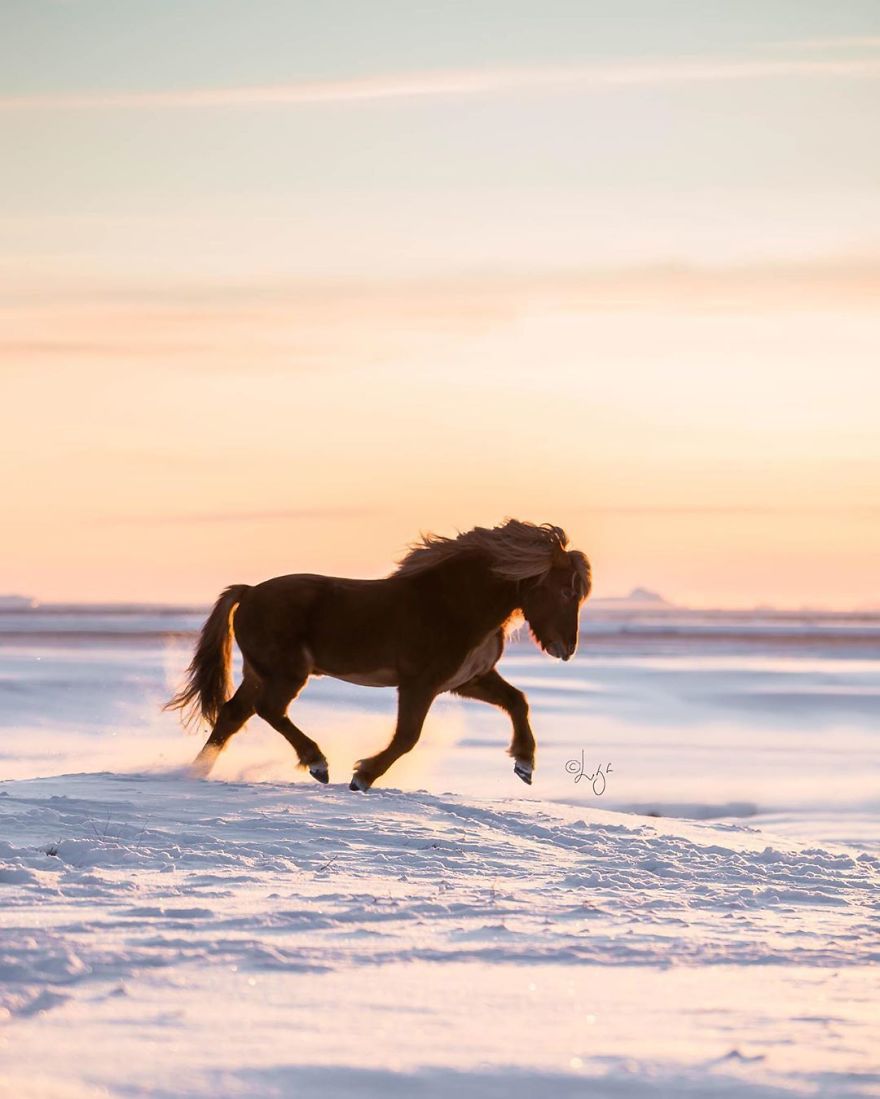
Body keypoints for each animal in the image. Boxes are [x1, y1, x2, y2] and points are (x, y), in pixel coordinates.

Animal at [165, 518, 591, 791]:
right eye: (565, 591)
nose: (566, 649)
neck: (457, 604)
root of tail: (249, 591)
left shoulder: (467, 680)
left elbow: (518, 701)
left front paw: (525, 765)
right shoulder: (420, 684)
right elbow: (407, 737)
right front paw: (362, 777)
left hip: (260, 672)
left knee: (233, 715)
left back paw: (198, 772)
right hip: (285, 673)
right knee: (269, 710)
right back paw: (318, 763)